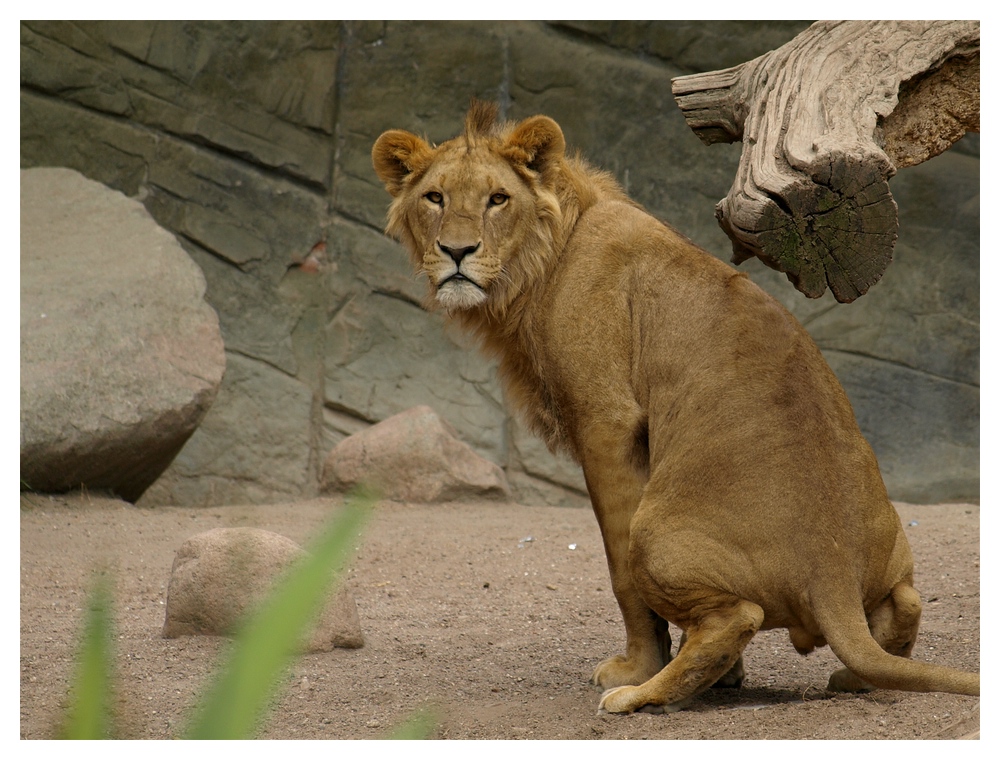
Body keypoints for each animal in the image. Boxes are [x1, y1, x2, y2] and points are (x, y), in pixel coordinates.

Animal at [372, 99, 980, 712]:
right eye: (435, 198)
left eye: (498, 199)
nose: (456, 252)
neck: (543, 261)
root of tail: (830, 568)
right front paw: (729, 676)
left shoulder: (608, 421)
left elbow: (619, 570)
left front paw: (637, 666)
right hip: (892, 556)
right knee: (906, 602)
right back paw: (852, 678)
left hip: (657, 527)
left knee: (737, 614)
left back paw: (640, 696)